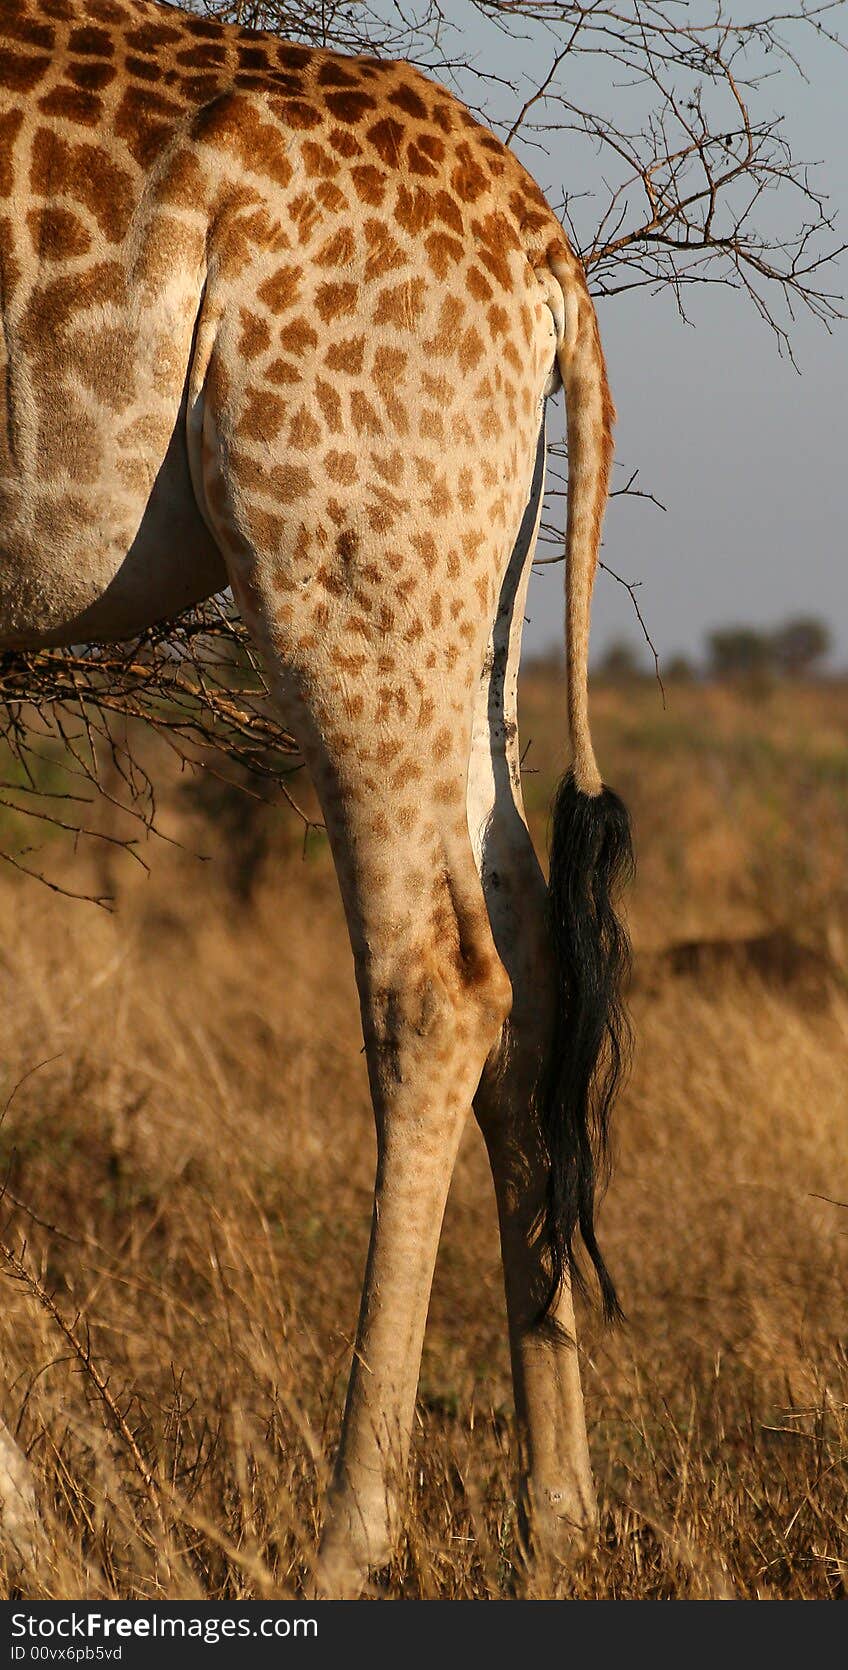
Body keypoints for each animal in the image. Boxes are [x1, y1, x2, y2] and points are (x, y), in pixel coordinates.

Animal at [0, 0, 634, 1589]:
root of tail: (549, 260)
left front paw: (39, 1534)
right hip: (466, 578)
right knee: (530, 963)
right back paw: (554, 1525)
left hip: (342, 547)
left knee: (439, 975)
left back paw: (348, 1537)